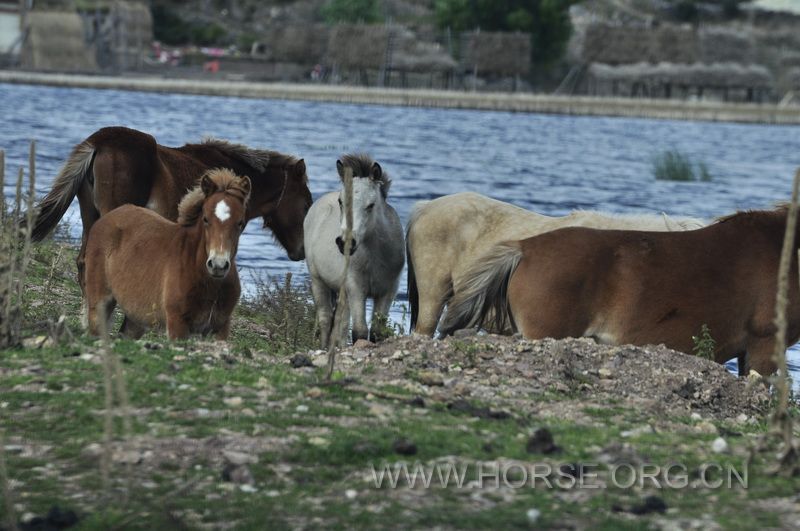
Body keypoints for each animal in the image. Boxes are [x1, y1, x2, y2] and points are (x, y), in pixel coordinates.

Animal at [84, 168, 250, 338]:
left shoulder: (220, 327)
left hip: (136, 317)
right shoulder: (177, 323)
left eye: (240, 222)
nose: (218, 265)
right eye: (205, 219)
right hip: (99, 304)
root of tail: (105, 218)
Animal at [306, 156, 406, 348]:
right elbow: (359, 331)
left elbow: (376, 332)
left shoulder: (388, 291)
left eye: (371, 205)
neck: (377, 256)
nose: (345, 243)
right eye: (340, 201)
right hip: (318, 281)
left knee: (340, 323)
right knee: (325, 319)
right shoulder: (356, 288)